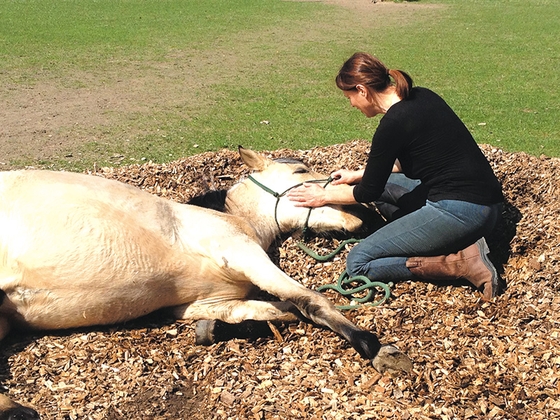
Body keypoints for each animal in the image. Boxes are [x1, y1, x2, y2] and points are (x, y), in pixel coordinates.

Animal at [0, 146, 412, 416]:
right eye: (299, 174)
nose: (365, 214)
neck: (232, 218)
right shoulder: (244, 254)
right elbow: (310, 300)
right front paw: (376, 348)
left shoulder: (204, 303)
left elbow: (281, 313)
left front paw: (223, 331)